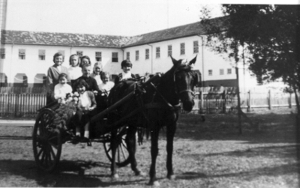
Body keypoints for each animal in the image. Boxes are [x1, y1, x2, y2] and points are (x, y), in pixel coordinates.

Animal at [106, 55, 200, 186]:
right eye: (178, 78)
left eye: (193, 77)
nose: (189, 103)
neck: (163, 95)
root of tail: (116, 86)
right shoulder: (154, 127)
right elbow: (154, 150)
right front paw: (153, 178)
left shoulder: (172, 126)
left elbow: (169, 148)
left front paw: (170, 173)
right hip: (115, 120)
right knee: (114, 141)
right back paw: (113, 171)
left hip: (132, 121)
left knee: (129, 141)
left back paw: (136, 169)